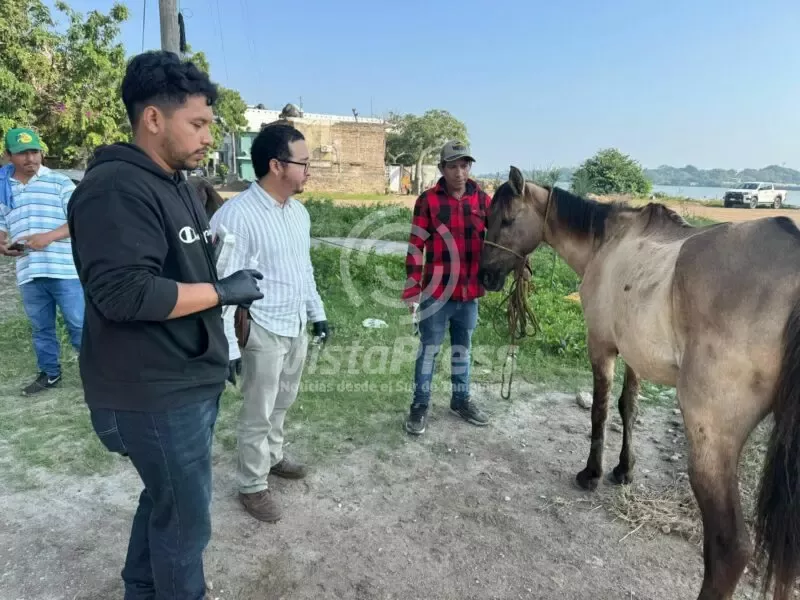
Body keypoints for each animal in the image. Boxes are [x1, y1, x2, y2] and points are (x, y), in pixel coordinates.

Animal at [477, 166, 800, 600]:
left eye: (507, 220)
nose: (486, 275)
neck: (607, 243)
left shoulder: (600, 345)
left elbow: (600, 411)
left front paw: (592, 473)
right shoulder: (634, 353)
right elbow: (627, 408)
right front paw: (624, 469)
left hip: (711, 441)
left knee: (730, 549)